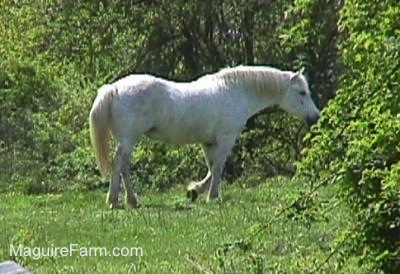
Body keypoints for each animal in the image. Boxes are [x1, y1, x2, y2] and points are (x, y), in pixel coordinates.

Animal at [89, 66, 320, 208]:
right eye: (301, 92)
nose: (315, 117)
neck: (235, 91)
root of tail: (114, 88)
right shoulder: (226, 138)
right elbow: (218, 168)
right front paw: (212, 196)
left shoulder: (208, 142)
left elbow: (211, 168)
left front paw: (195, 190)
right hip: (128, 139)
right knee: (119, 165)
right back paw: (115, 200)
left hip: (127, 140)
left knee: (124, 167)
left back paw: (132, 200)